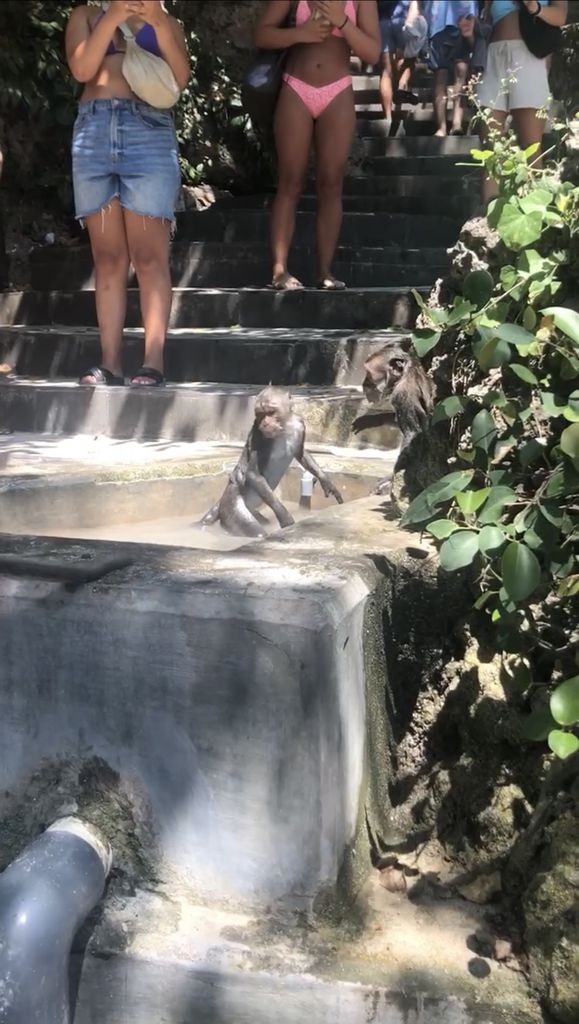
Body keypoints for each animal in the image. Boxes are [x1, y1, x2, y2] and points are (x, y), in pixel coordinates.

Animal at [201, 386, 343, 538]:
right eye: (260, 414)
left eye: (270, 412)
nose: (265, 423)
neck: (285, 427)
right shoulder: (260, 436)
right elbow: (253, 474)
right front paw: (286, 518)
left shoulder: (299, 425)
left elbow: (301, 454)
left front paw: (325, 480)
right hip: (232, 504)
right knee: (253, 529)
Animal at [351, 340, 435, 497]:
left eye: (369, 374)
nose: (364, 383)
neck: (406, 374)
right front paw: (372, 420)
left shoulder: (402, 394)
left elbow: (414, 437)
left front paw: (390, 480)